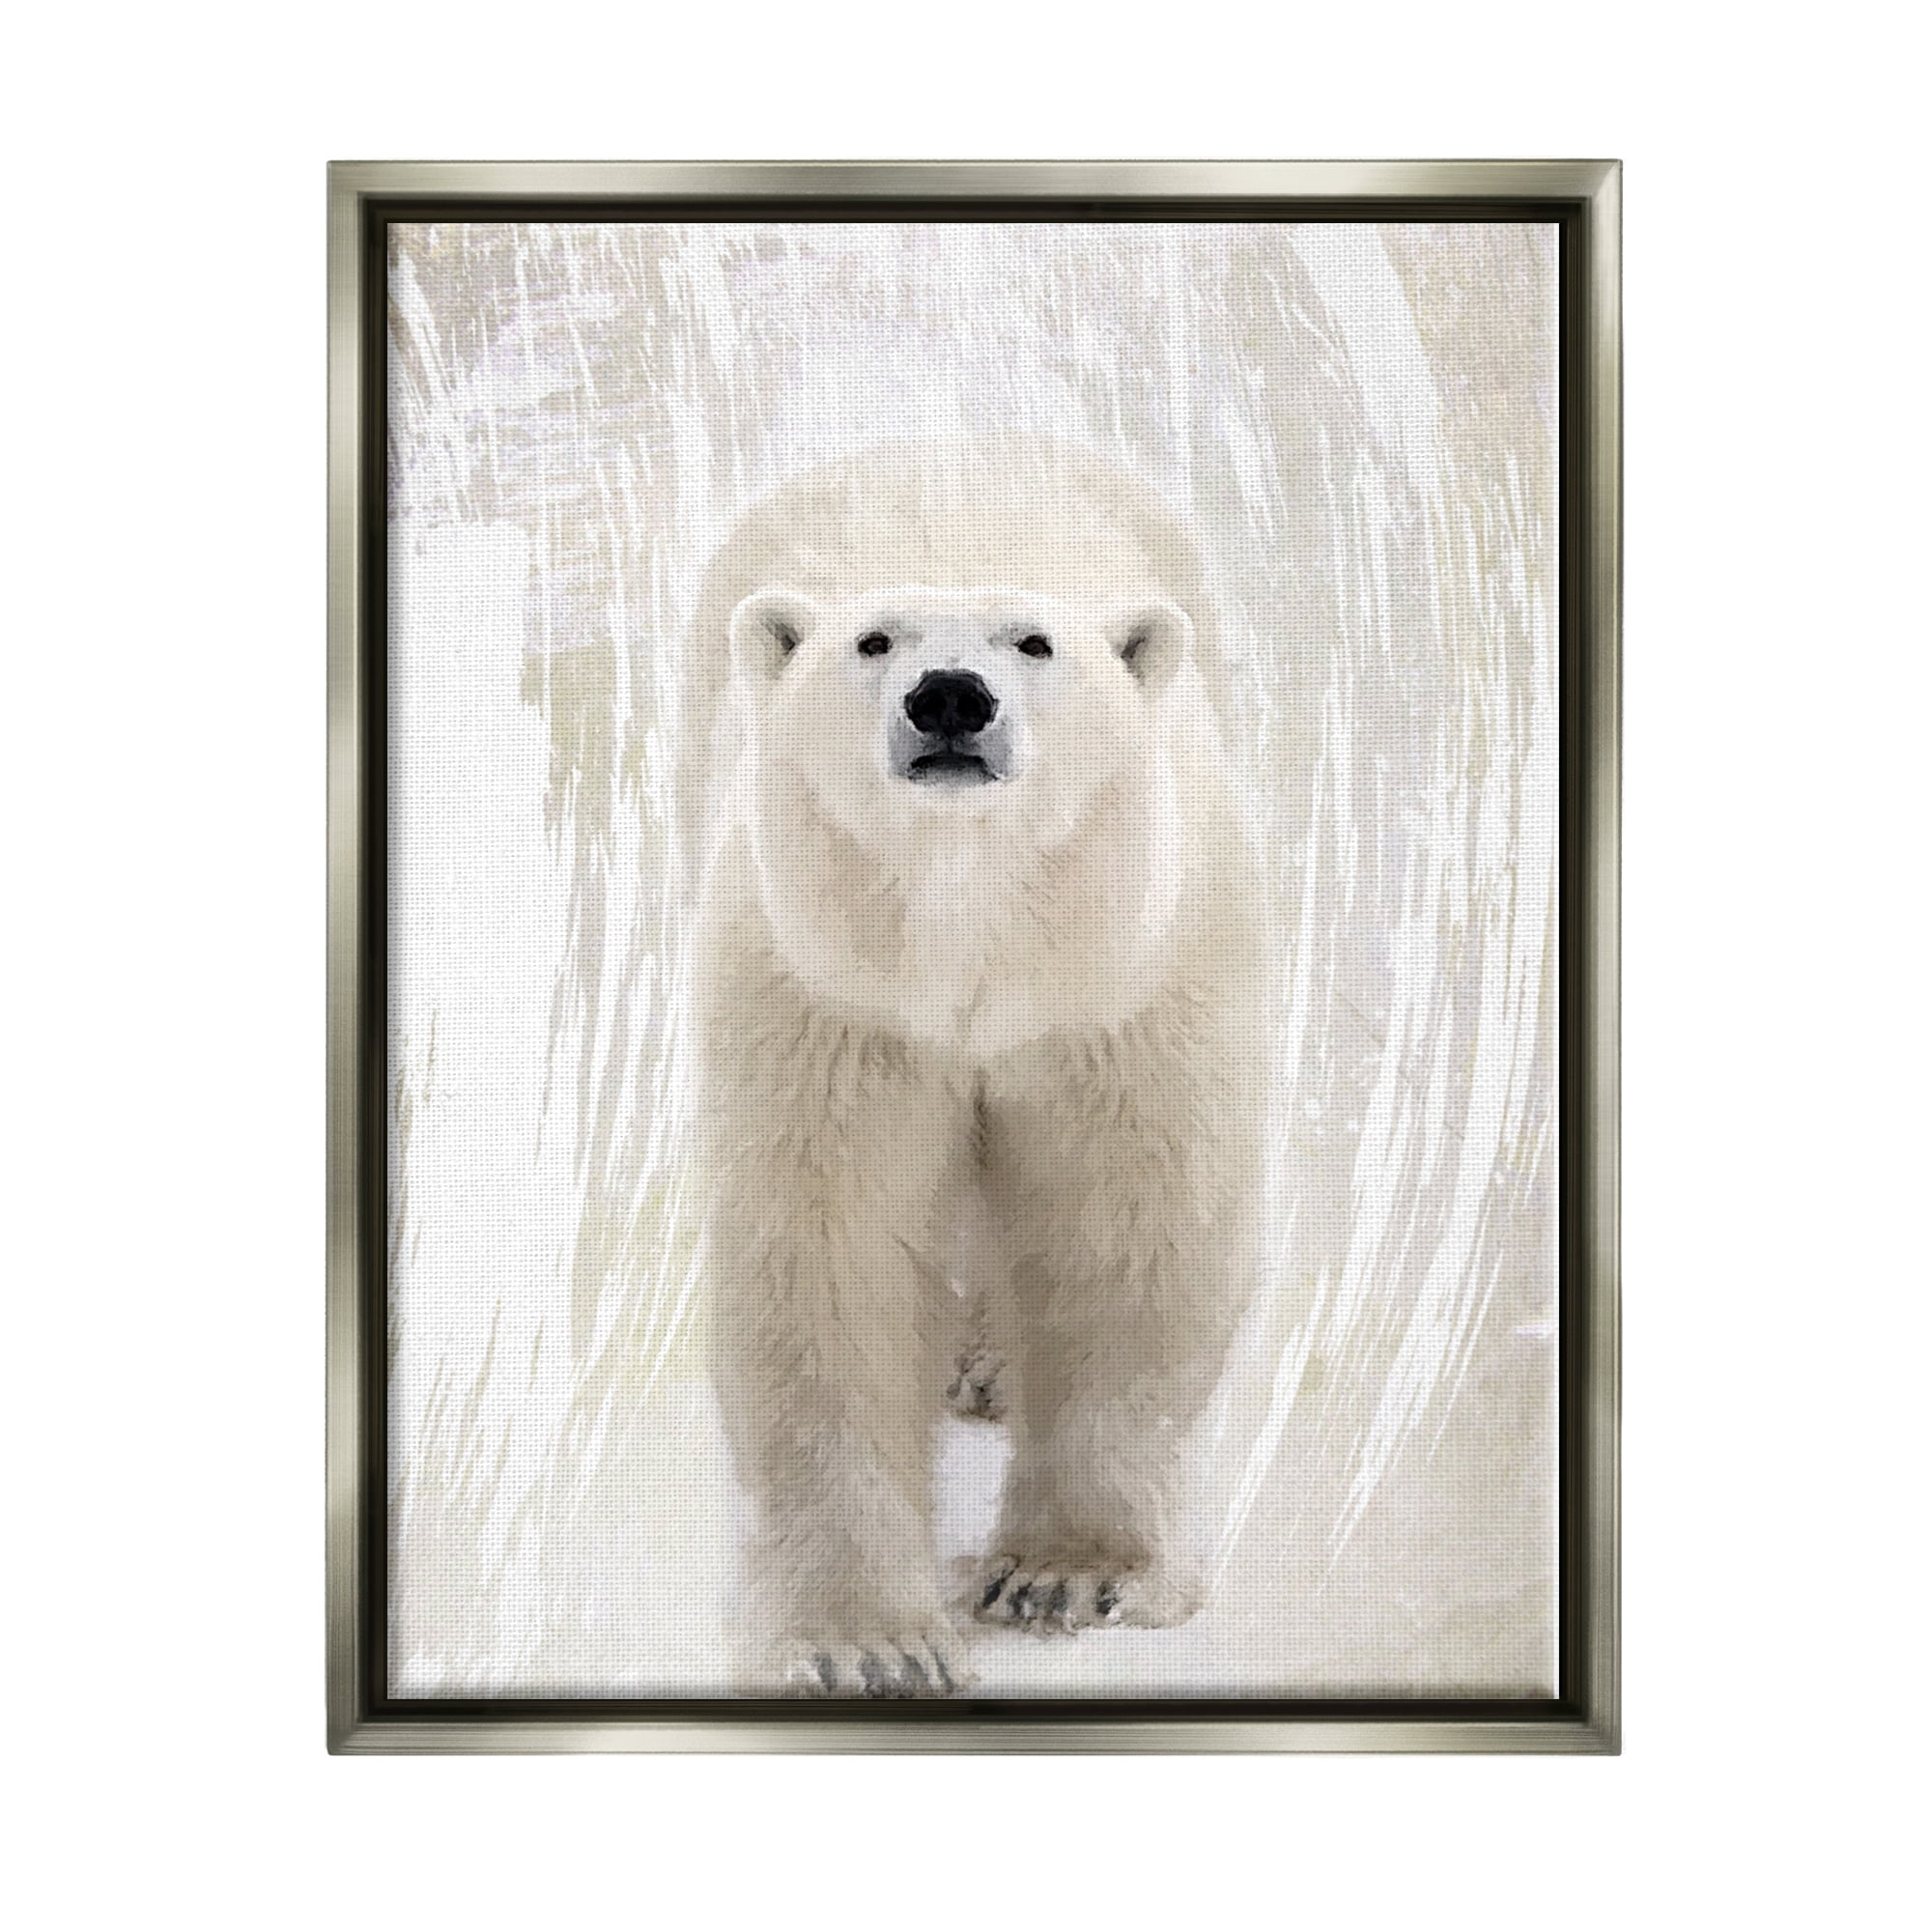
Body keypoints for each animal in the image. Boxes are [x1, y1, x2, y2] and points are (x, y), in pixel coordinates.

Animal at [680, 438, 1266, 1696]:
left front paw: (1066, 1575)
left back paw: (992, 1365)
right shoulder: (829, 996)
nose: (949, 695)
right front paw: (865, 1639)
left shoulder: (1119, 985)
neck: (972, 933)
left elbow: (1120, 1222)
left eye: (1035, 642)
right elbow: (831, 1250)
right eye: (871, 640)